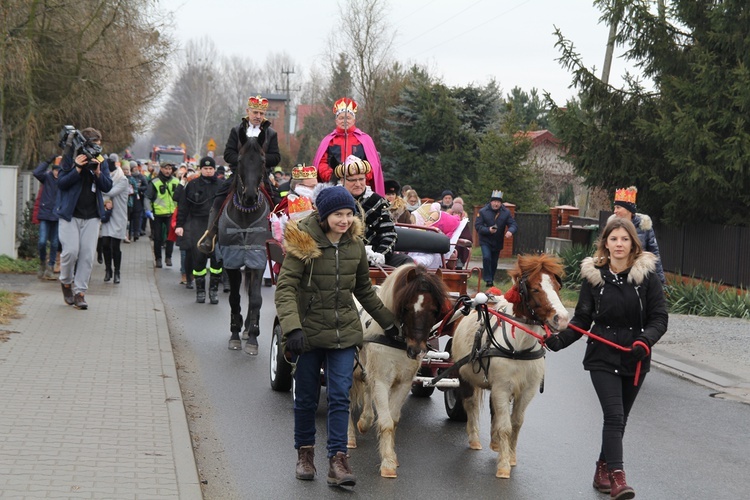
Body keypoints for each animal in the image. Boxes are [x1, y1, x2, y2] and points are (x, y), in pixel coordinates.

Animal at [198, 131, 272, 354]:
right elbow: (234, 298)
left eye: (263, 160)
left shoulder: (258, 258)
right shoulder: (232, 260)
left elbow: (256, 299)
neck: (246, 214)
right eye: (239, 160)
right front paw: (235, 333)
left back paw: (249, 329)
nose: (250, 196)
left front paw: (253, 337)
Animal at [452, 256, 568, 478]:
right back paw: (474, 438)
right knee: (470, 404)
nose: (563, 319)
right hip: (464, 375)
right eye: (535, 288)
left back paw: (495, 443)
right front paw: (504, 466)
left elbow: (516, 423)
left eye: (557, 286)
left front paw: (511, 457)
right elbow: (505, 426)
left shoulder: (526, 390)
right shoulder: (502, 387)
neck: (519, 346)